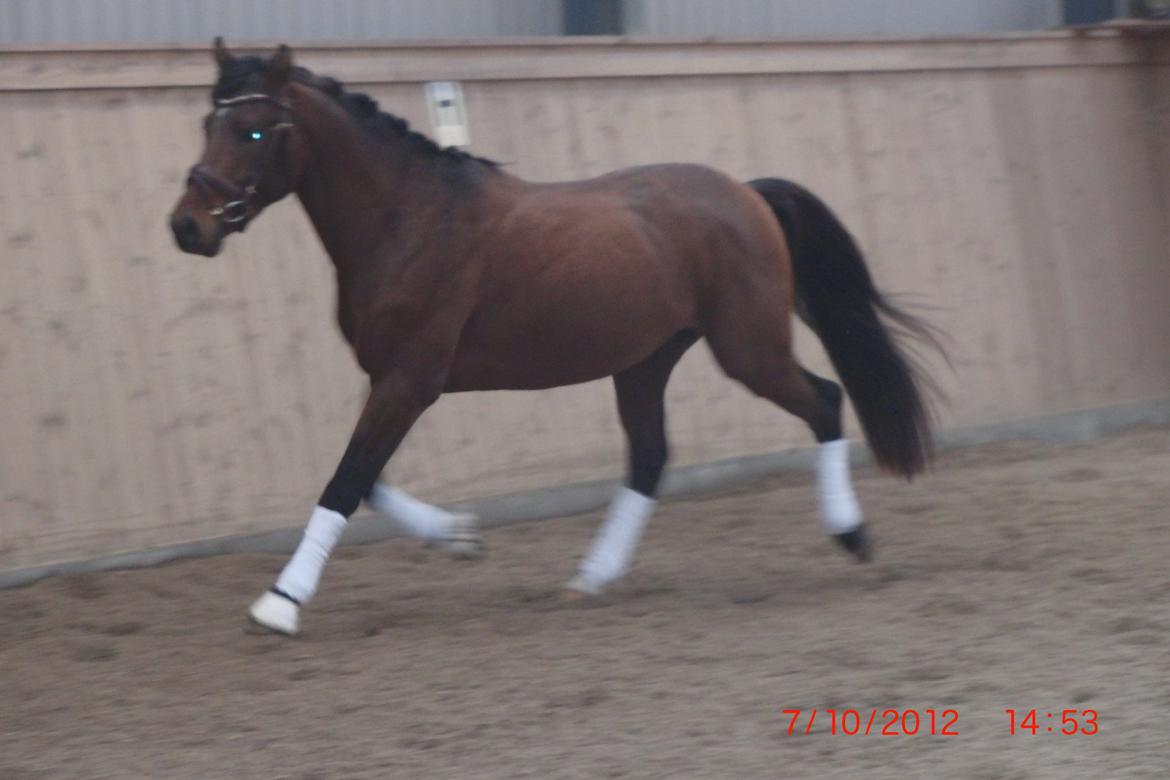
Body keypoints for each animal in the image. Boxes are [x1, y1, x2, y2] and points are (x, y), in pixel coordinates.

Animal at [167, 41, 940, 636]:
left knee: (825, 401)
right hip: (646, 361)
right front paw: (461, 537)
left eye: (255, 131)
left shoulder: (410, 380)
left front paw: (279, 602)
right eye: (209, 121)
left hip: (748, 351)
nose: (187, 226)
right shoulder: (391, 379)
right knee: (650, 457)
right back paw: (591, 577)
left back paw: (851, 533)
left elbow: (346, 481)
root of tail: (747, 194)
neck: (409, 221)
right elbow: (368, 477)